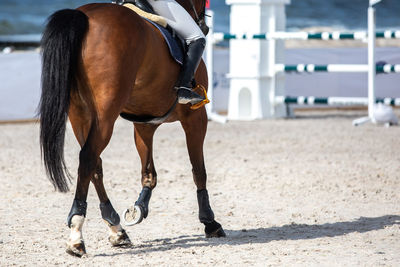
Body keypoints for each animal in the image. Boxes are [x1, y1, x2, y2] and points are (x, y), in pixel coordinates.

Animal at [39, 1, 225, 258]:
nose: (205, 27)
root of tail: (84, 15)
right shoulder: (196, 117)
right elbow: (199, 170)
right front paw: (210, 222)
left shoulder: (144, 123)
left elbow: (149, 173)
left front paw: (140, 206)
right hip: (105, 114)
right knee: (88, 158)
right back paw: (76, 235)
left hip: (79, 114)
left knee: (94, 165)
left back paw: (116, 229)